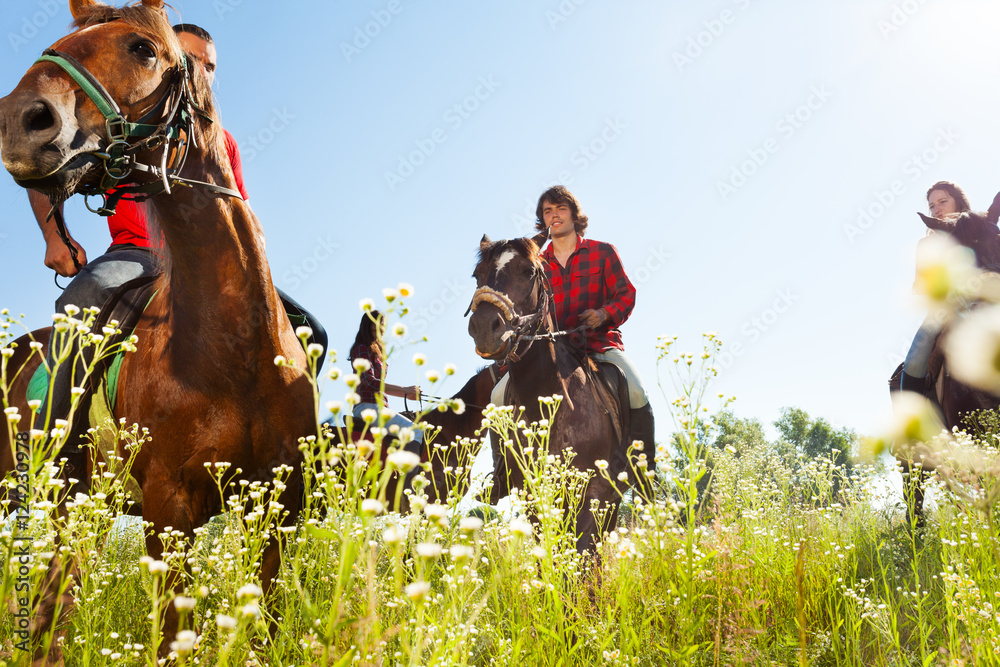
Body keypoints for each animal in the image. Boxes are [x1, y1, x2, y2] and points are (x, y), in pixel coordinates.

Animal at [0, 0, 312, 656]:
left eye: (143, 49)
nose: (19, 120)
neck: (232, 345)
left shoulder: (279, 508)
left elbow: (268, 627)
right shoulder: (168, 512)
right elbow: (173, 638)